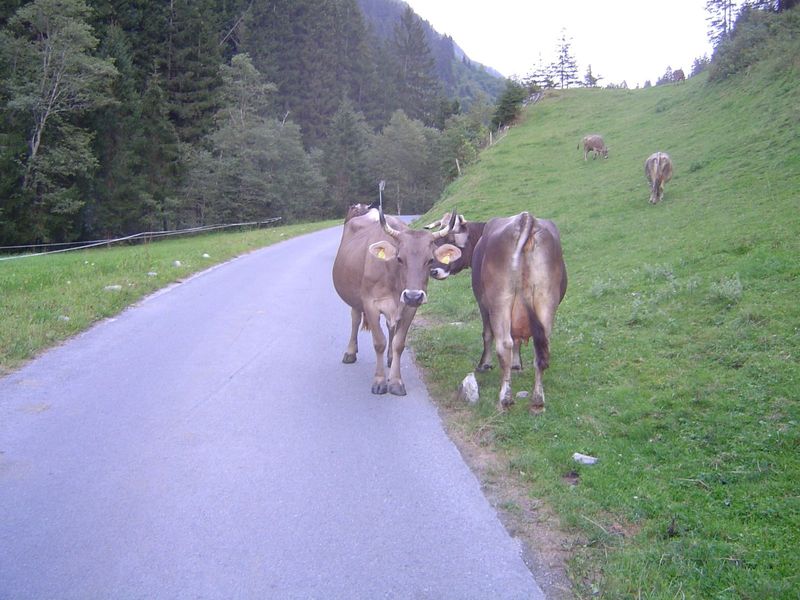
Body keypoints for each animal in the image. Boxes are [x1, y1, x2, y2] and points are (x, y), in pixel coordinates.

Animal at [332, 206, 461, 395]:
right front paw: (379, 381)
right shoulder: (370, 304)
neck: (394, 281)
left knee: (390, 327)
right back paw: (350, 352)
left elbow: (398, 343)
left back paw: (390, 358)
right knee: (355, 319)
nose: (413, 296)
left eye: (430, 260)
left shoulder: (409, 308)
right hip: (354, 297)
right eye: (399, 258)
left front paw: (395, 381)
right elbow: (379, 342)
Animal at [471, 212, 567, 414]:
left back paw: (505, 399)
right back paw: (538, 401)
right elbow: (517, 340)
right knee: (541, 350)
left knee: (503, 344)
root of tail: (526, 217)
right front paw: (517, 365)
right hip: (546, 298)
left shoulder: (483, 304)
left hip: (500, 299)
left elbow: (488, 334)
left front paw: (484, 364)